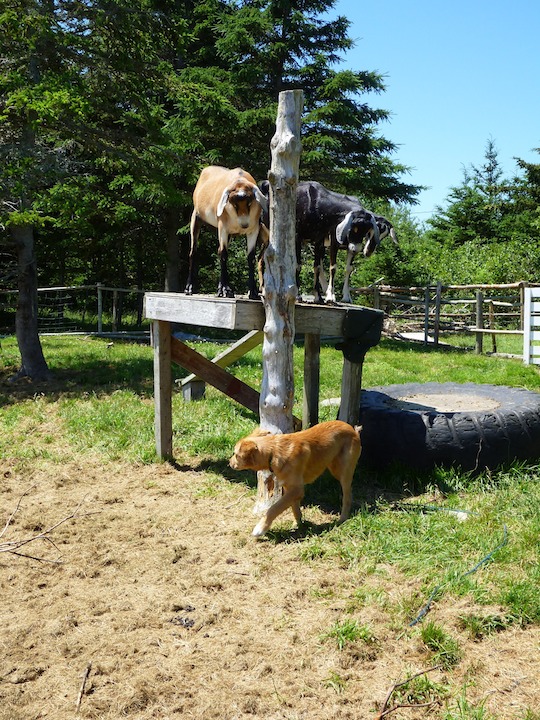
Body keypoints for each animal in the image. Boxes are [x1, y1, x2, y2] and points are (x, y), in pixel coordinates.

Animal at [187, 165, 268, 298]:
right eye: (234, 203)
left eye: (249, 202)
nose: (244, 225)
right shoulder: (223, 228)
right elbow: (224, 254)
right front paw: (227, 290)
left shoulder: (253, 230)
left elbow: (250, 257)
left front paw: (253, 292)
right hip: (196, 218)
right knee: (193, 252)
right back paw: (189, 288)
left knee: (218, 250)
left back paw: (219, 289)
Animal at [229, 422, 362, 536]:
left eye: (236, 455)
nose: (229, 463)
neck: (274, 451)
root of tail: (353, 429)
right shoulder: (290, 488)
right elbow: (294, 507)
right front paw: (298, 523)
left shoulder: (297, 489)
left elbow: (274, 508)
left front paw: (260, 528)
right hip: (334, 466)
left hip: (343, 472)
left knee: (347, 497)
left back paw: (342, 519)